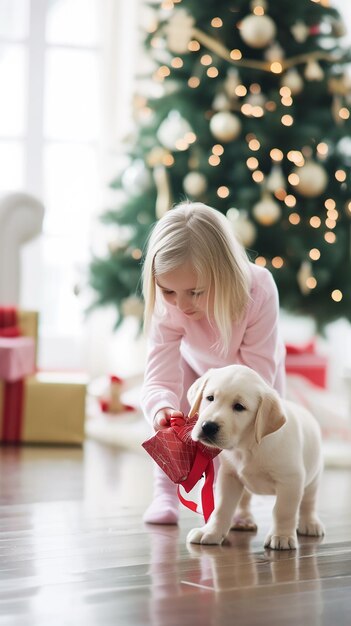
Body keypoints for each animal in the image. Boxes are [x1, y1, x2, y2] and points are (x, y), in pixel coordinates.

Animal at [187, 364, 324, 548]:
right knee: (244, 501)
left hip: (313, 478)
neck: (248, 446)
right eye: (210, 398)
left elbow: (283, 511)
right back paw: (243, 520)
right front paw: (211, 532)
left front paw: (281, 536)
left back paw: (310, 523)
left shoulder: (291, 480)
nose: (208, 426)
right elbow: (222, 508)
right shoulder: (229, 477)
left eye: (239, 407)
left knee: (309, 502)